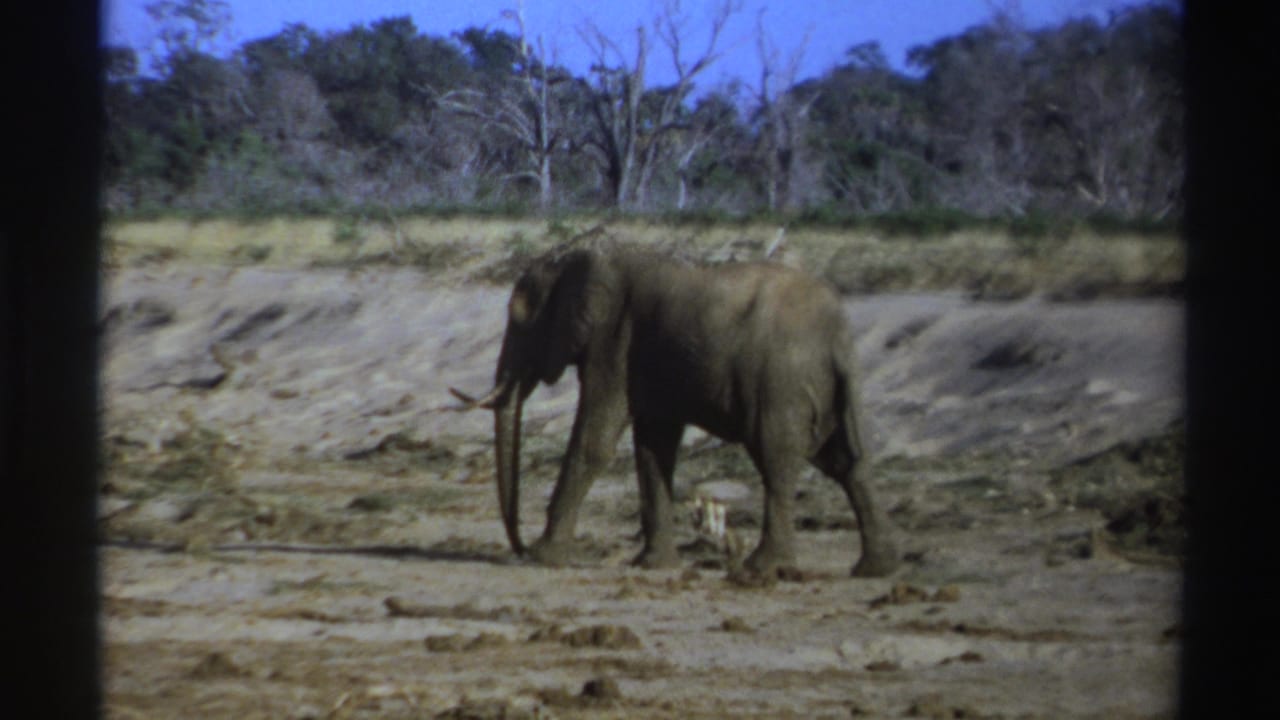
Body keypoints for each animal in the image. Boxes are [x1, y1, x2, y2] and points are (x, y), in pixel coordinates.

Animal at [450, 239, 899, 577]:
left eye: (520, 319)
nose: (519, 547)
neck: (582, 256)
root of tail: (840, 336)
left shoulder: (612, 342)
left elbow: (596, 439)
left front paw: (545, 558)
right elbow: (654, 446)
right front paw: (654, 565)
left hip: (782, 382)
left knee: (777, 461)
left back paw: (762, 568)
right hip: (820, 388)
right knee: (846, 463)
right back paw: (873, 569)